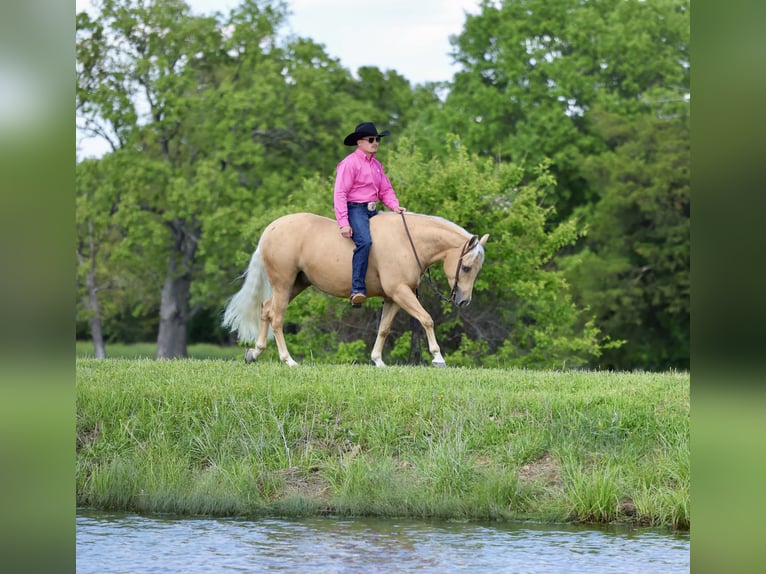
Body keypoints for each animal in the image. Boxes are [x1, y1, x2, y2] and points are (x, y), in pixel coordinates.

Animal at [222, 212, 489, 367]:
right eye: (466, 267)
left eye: (477, 269)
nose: (463, 301)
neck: (407, 240)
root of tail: (269, 231)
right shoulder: (401, 292)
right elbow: (427, 319)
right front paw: (438, 356)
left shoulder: (393, 298)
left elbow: (384, 328)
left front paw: (378, 360)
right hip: (283, 283)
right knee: (276, 317)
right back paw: (288, 360)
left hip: (295, 284)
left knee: (266, 309)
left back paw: (255, 352)